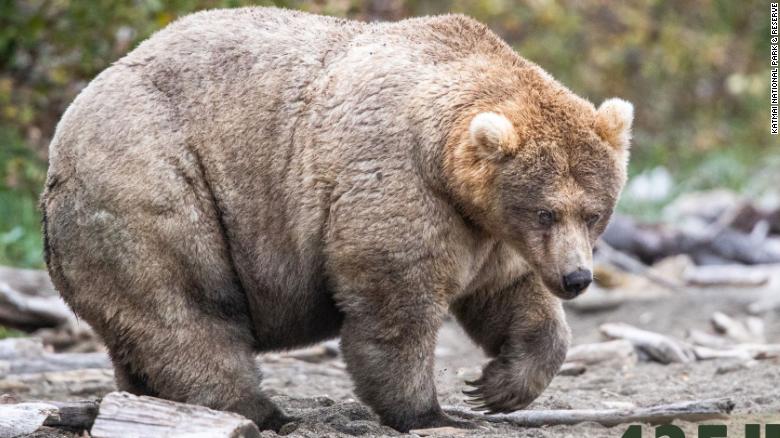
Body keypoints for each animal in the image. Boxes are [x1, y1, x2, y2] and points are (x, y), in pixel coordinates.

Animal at [39, 6, 632, 432]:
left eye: (594, 212)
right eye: (545, 210)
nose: (577, 278)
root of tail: (62, 138)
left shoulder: (489, 231)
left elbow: (510, 296)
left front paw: (496, 387)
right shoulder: (398, 185)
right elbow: (395, 304)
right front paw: (429, 411)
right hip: (155, 187)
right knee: (186, 308)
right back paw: (260, 411)